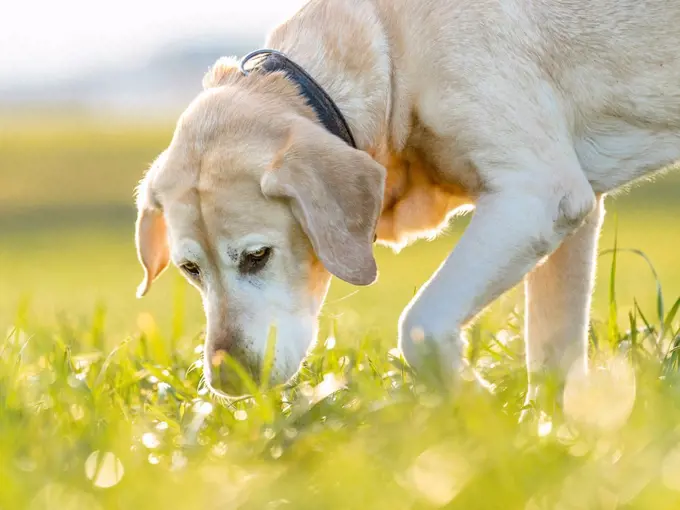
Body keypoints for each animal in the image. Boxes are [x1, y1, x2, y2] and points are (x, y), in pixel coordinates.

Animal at [133, 0, 680, 402]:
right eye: (190, 270)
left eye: (257, 256)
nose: (228, 381)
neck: (392, 49)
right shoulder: (572, 217)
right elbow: (552, 355)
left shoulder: (538, 194)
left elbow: (420, 326)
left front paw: (481, 410)